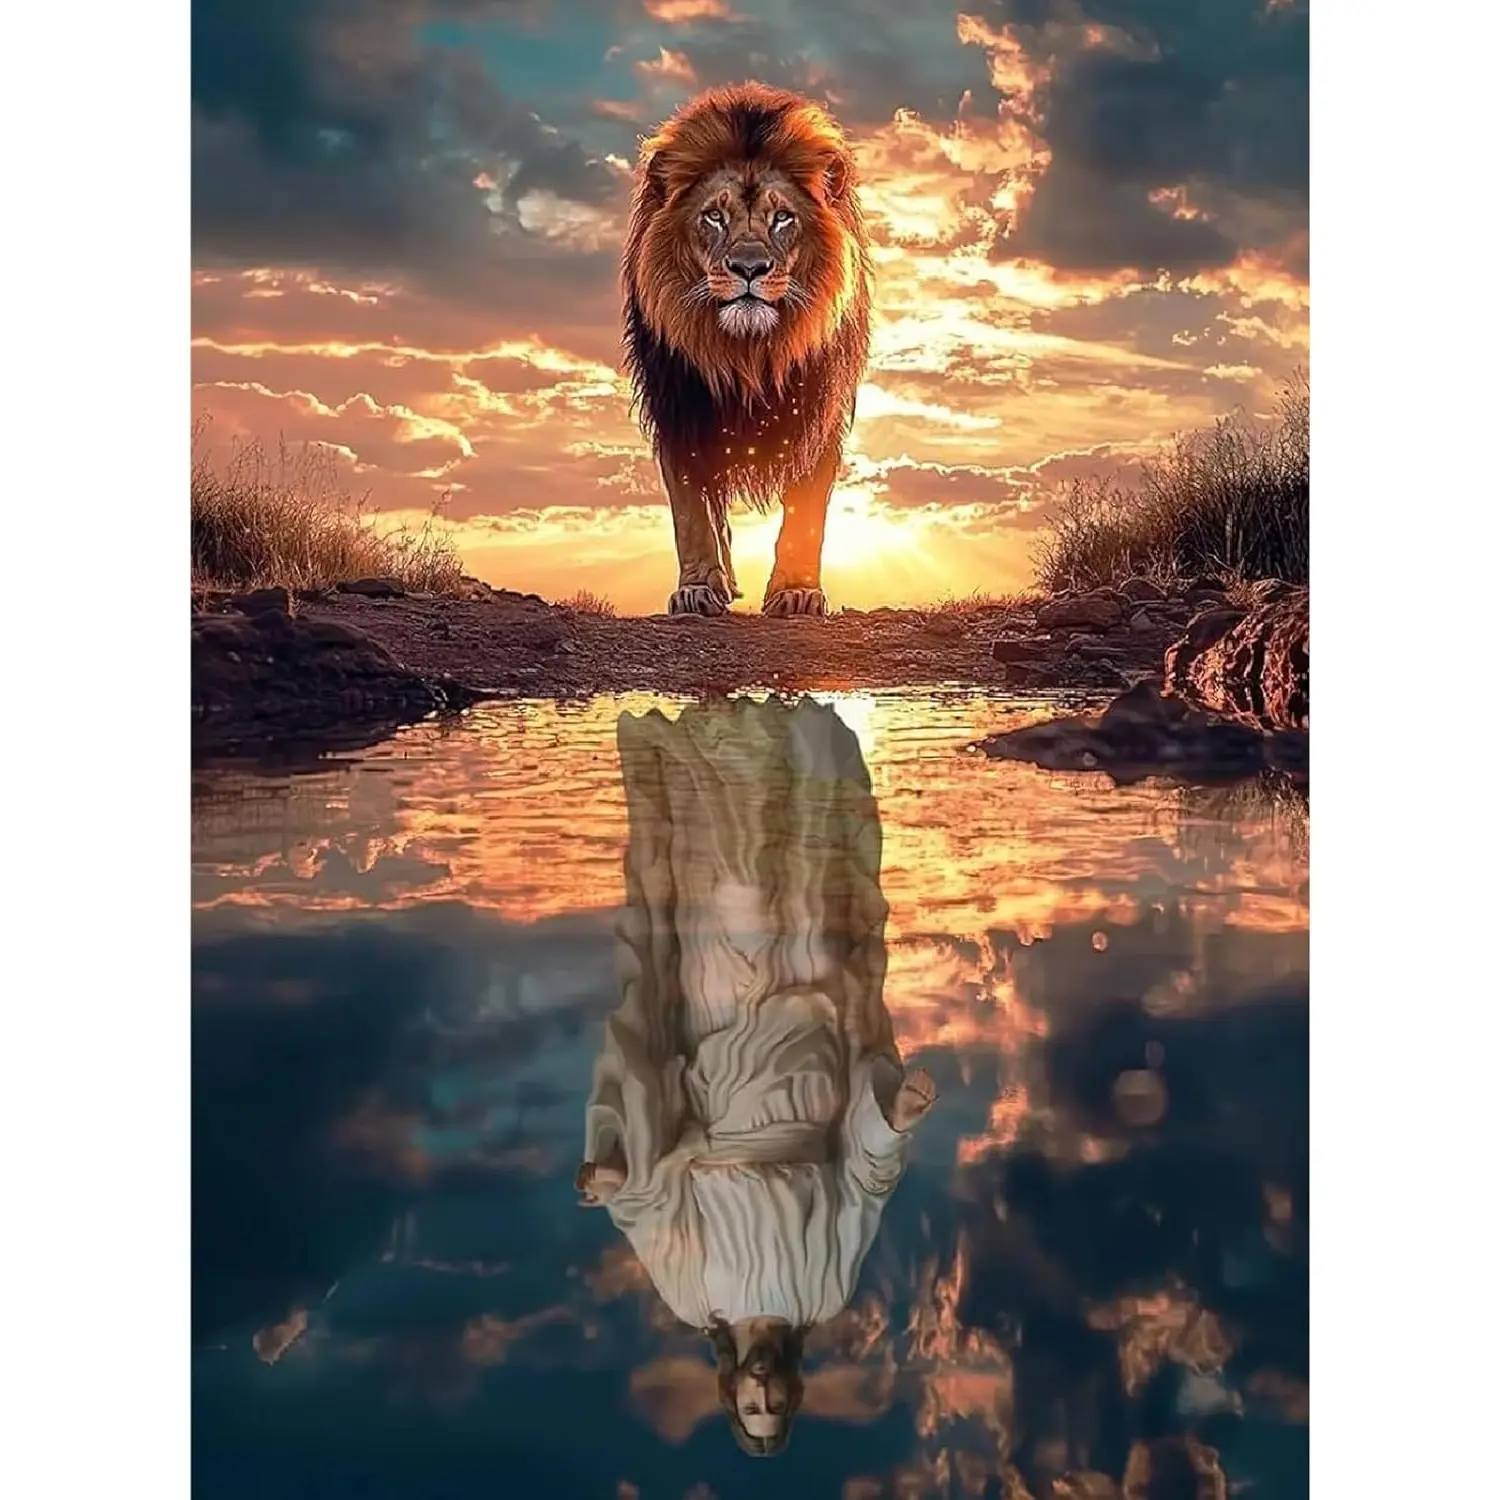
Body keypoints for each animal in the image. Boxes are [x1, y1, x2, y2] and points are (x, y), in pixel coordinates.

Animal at [622, 82, 874, 618]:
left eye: (783, 218)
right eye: (714, 216)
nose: (750, 268)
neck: (749, 353)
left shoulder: (820, 410)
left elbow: (807, 509)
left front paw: (796, 592)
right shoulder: (678, 406)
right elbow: (692, 511)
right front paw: (698, 589)